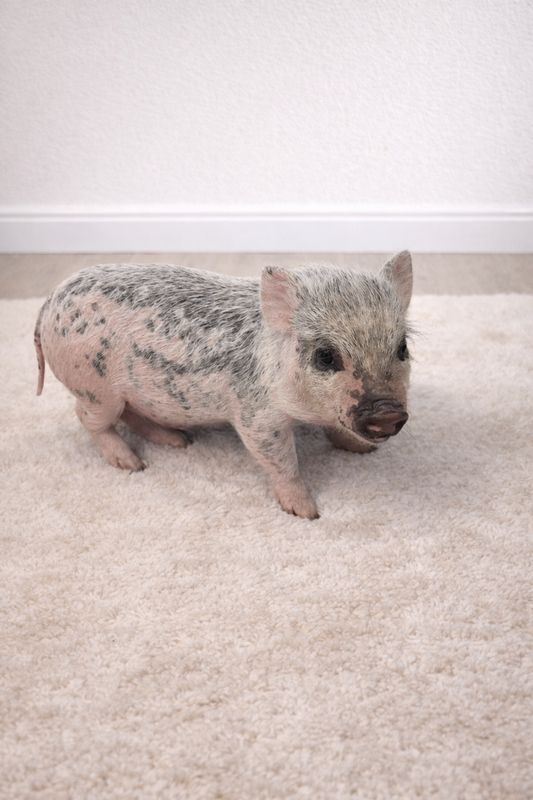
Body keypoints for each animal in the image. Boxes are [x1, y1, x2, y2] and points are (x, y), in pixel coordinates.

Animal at [34, 251, 413, 519]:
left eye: (402, 347)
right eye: (325, 356)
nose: (387, 413)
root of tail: (49, 301)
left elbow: (337, 430)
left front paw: (363, 451)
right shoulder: (255, 416)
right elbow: (281, 462)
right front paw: (307, 513)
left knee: (132, 415)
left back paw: (178, 441)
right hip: (94, 386)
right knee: (88, 418)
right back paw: (133, 464)